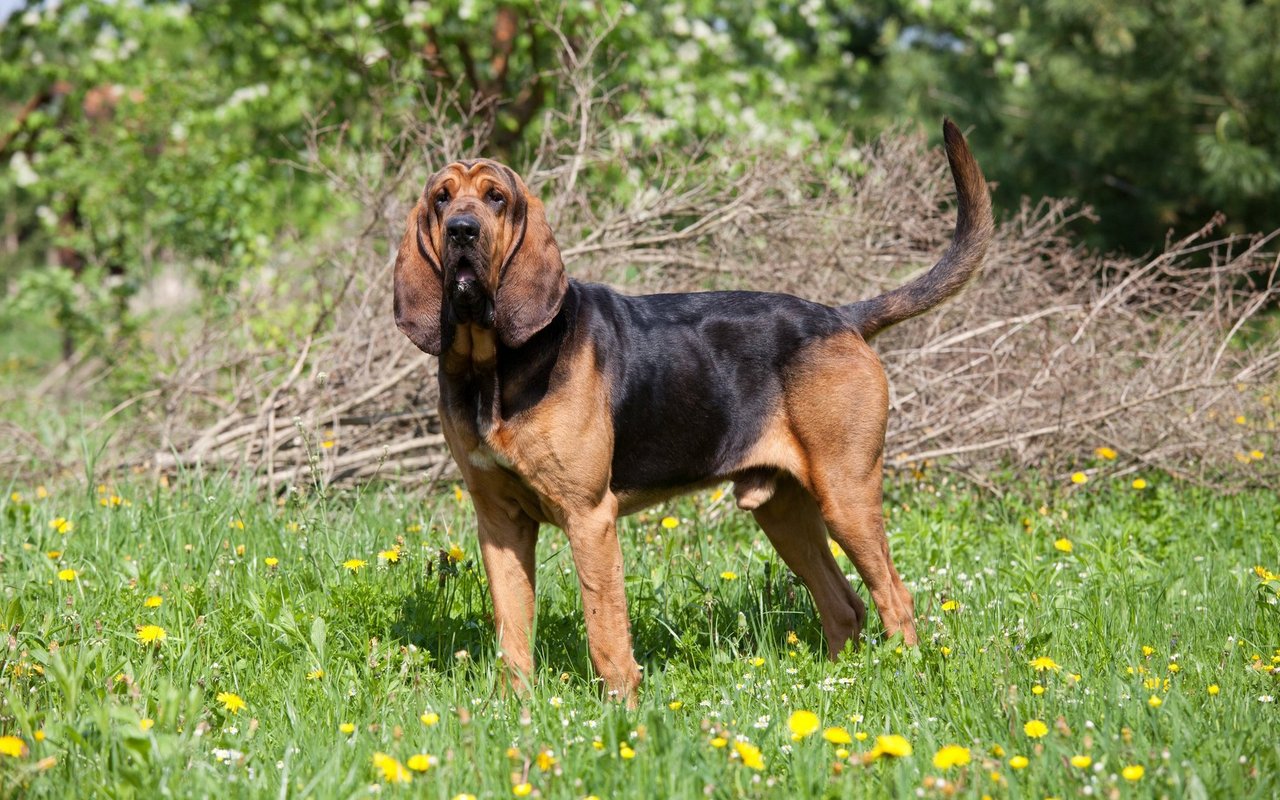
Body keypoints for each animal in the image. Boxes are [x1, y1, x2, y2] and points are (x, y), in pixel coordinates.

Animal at [394, 118, 993, 696]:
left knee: (895, 597)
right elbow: (513, 641)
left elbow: (607, 638)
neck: (491, 365)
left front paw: (622, 713)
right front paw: (517, 713)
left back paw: (905, 678)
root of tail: (842, 317)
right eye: (441, 199)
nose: (461, 230)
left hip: (847, 494)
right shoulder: (500, 523)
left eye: (496, 198)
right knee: (844, 605)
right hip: (785, 511)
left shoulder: (590, 518)